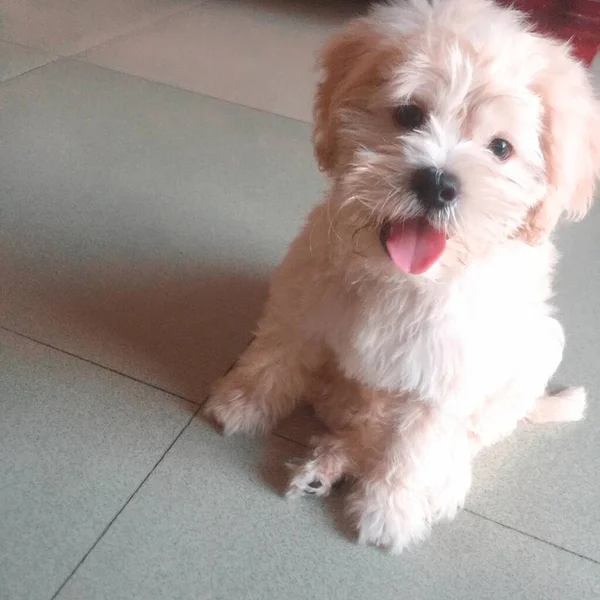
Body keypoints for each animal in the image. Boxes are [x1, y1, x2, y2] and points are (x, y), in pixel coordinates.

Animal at [204, 0, 596, 552]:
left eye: (501, 148)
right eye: (410, 114)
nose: (437, 184)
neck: (404, 276)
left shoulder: (448, 380)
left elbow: (415, 448)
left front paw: (388, 512)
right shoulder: (304, 294)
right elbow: (275, 354)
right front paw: (239, 405)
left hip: (536, 353)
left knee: (454, 444)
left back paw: (433, 487)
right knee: (363, 429)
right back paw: (327, 465)